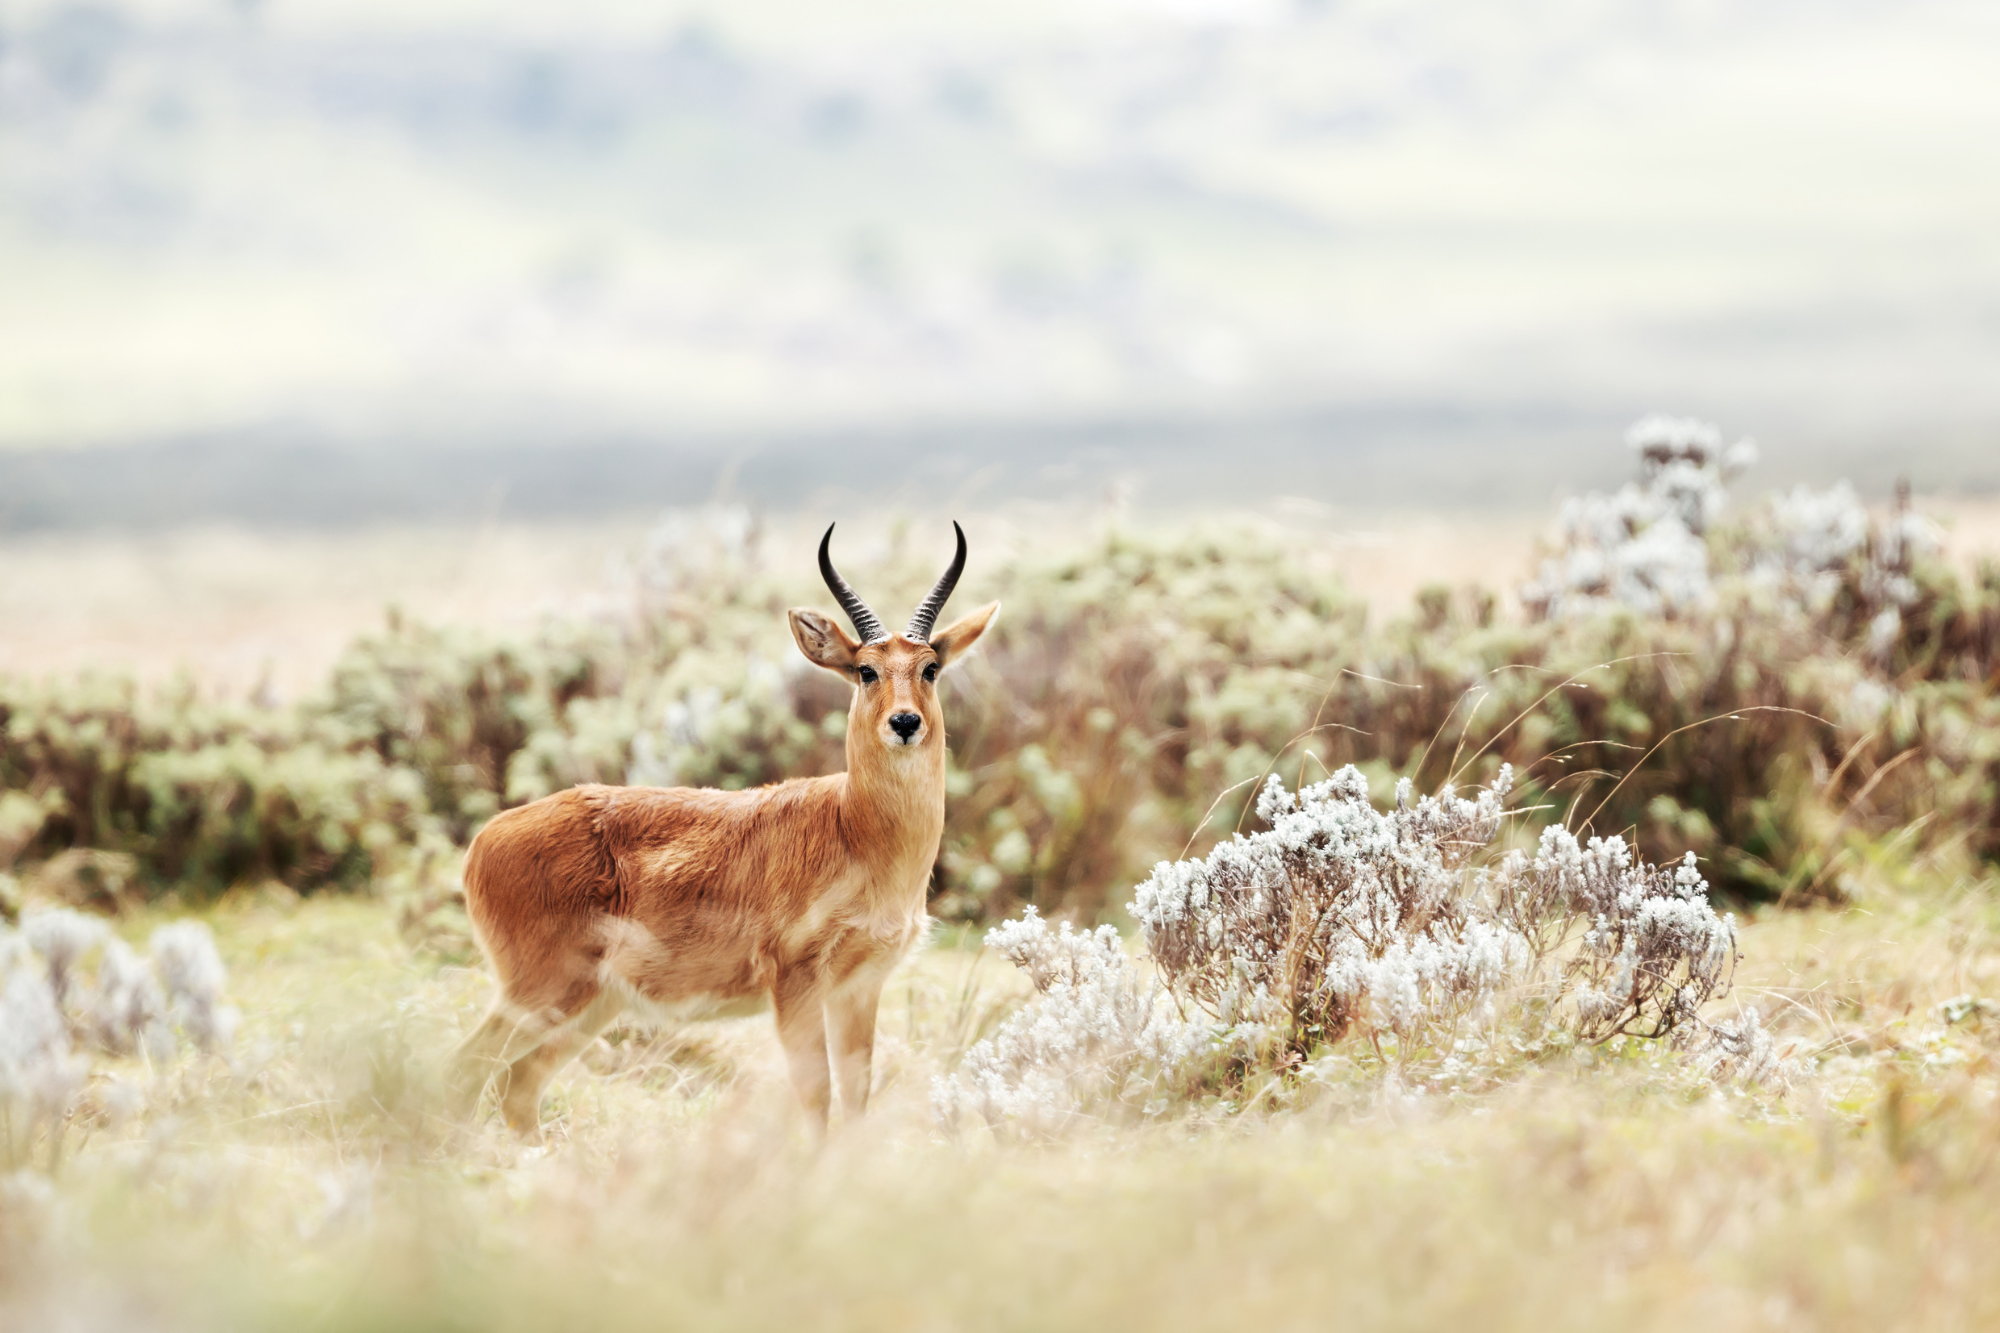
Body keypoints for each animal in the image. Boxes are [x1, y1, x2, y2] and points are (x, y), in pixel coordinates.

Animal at [446, 520, 992, 1128]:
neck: (854, 829)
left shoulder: (860, 987)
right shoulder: (796, 980)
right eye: (865, 670)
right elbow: (816, 1096)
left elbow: (855, 1098)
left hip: (590, 1003)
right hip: (543, 990)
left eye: (930, 667)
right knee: (464, 1070)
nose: (904, 722)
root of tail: (482, 842)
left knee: (516, 1086)